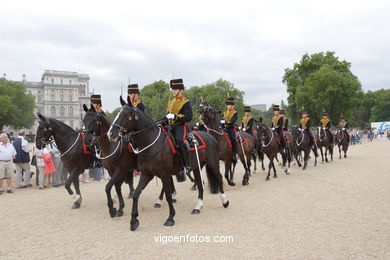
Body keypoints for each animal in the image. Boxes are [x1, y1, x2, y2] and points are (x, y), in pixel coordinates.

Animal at [106, 96, 229, 231]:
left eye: (126, 114)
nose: (110, 134)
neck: (151, 144)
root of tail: (210, 136)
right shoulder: (146, 174)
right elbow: (136, 194)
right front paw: (134, 221)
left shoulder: (164, 174)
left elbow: (169, 196)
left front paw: (170, 218)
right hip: (197, 166)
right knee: (200, 184)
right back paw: (198, 207)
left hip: (213, 163)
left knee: (219, 178)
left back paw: (225, 201)